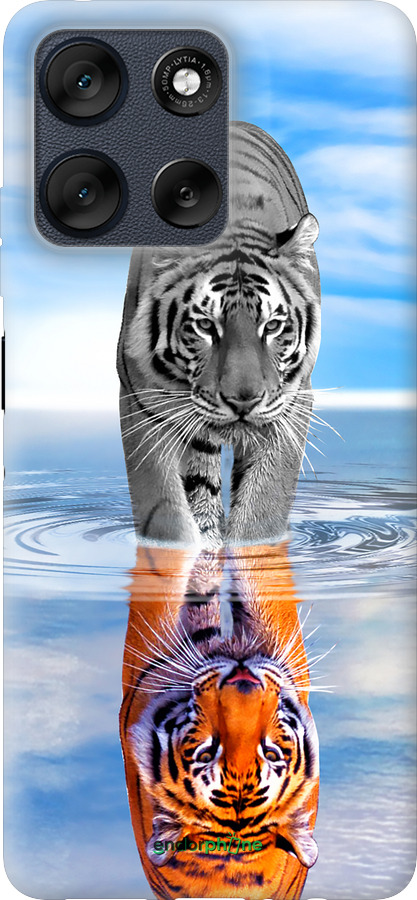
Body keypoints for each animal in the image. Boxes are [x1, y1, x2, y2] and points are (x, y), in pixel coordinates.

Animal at [117, 121, 321, 548]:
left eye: (272, 326)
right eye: (206, 326)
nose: (243, 401)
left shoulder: (292, 404)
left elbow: (262, 509)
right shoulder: (141, 401)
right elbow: (165, 512)